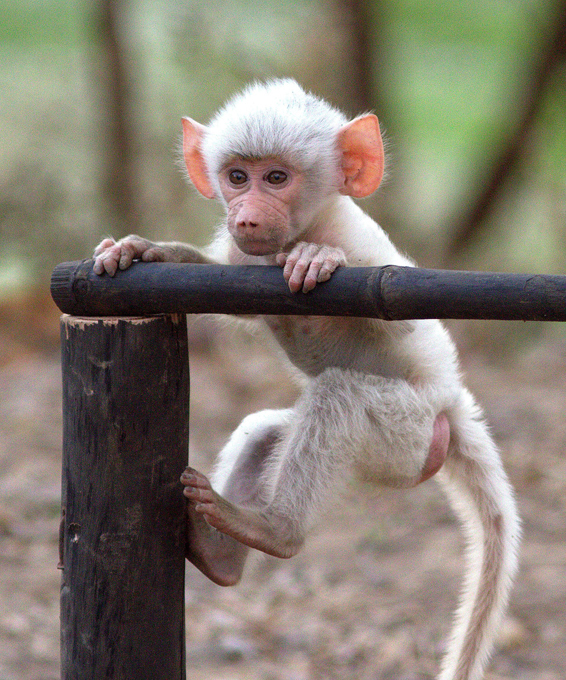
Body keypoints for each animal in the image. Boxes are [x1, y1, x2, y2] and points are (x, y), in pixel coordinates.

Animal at [93, 79, 520, 680]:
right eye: (237, 177)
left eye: (276, 178)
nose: (247, 216)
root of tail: (451, 405)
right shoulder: (245, 255)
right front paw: (148, 249)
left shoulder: (363, 249)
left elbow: (399, 308)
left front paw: (318, 257)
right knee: (267, 430)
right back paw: (222, 553)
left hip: (408, 438)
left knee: (339, 398)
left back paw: (275, 531)